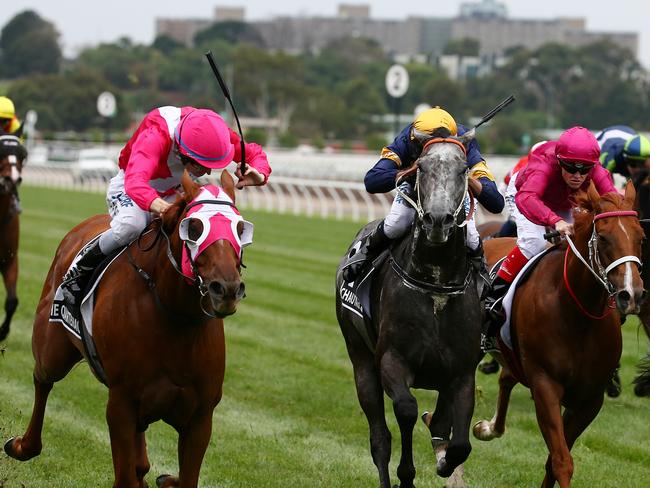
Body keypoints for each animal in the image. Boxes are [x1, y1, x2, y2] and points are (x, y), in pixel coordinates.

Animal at [5, 170, 247, 486]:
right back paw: (23, 445)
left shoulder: (200, 416)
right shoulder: (121, 404)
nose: (226, 289)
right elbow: (124, 476)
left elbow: (185, 477)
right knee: (42, 379)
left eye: (241, 228)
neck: (176, 319)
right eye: (194, 227)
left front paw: (165, 477)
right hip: (53, 348)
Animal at [470, 184, 644, 488]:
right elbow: (562, 460)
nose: (631, 294)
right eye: (604, 237)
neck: (577, 314)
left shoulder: (589, 399)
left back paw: (488, 428)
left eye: (641, 237)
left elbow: (554, 459)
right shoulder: (545, 385)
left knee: (506, 377)